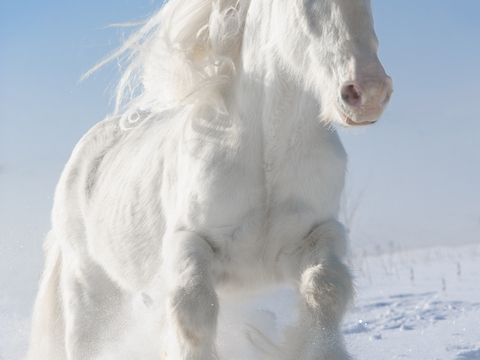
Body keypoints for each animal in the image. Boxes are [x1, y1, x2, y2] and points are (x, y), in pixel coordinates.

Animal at [28, 0, 392, 358]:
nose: (368, 92)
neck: (266, 157)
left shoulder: (314, 238)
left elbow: (325, 290)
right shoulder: (189, 242)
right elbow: (194, 307)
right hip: (88, 288)